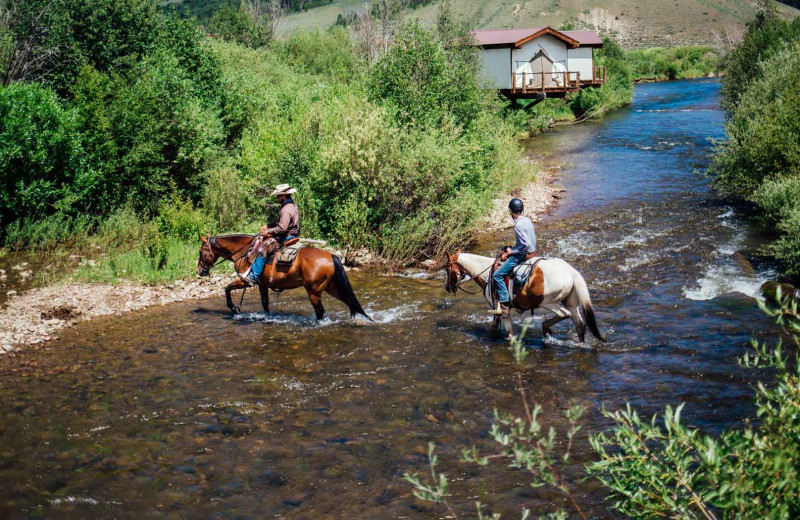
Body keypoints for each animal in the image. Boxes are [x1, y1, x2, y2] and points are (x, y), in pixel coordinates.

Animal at [195, 232, 370, 320]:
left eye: (201, 251)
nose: (199, 271)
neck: (244, 252)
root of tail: (331, 256)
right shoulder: (262, 284)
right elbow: (265, 303)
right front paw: (267, 317)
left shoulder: (247, 280)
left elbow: (226, 289)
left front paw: (234, 309)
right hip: (331, 287)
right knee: (349, 302)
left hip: (313, 291)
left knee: (320, 310)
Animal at [444, 251, 608, 344]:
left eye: (447, 268)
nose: (447, 287)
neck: (486, 274)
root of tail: (571, 271)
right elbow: (496, 327)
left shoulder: (500, 308)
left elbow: (507, 331)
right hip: (571, 303)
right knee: (579, 323)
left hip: (547, 302)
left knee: (564, 314)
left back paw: (546, 327)